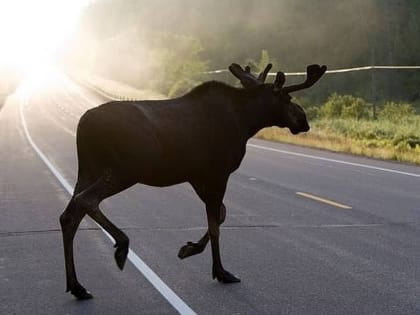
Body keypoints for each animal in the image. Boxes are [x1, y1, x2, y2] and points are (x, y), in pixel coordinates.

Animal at [60, 62, 328, 302]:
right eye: (287, 98)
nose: (304, 120)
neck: (246, 122)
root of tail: (83, 125)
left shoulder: (197, 176)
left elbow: (220, 215)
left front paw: (189, 249)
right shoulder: (218, 172)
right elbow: (215, 223)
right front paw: (220, 272)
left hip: (88, 170)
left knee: (68, 215)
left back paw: (77, 286)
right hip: (123, 170)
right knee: (85, 201)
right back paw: (121, 247)